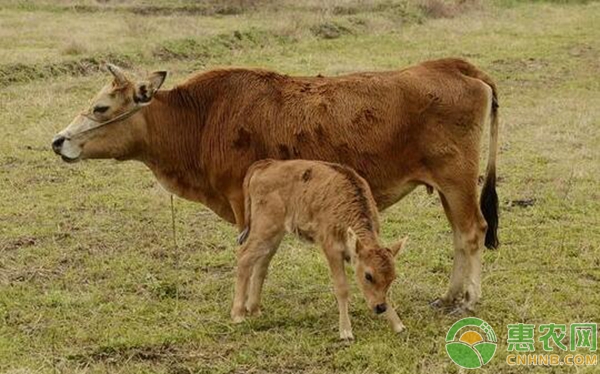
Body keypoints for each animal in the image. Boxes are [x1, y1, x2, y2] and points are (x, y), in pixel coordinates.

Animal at [51, 58, 500, 312]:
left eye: (100, 107)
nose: (58, 141)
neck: (201, 117)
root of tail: (457, 66)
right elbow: (262, 255)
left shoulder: (244, 203)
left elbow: (254, 254)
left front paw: (248, 305)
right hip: (447, 187)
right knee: (459, 235)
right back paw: (450, 296)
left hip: (457, 180)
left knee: (473, 231)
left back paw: (468, 300)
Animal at [232, 159, 410, 340]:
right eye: (368, 276)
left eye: (393, 277)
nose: (380, 307)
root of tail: (265, 165)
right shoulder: (332, 249)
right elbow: (342, 288)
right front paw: (346, 332)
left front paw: (398, 325)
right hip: (265, 228)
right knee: (245, 256)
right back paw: (238, 314)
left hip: (274, 235)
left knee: (261, 263)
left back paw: (254, 309)